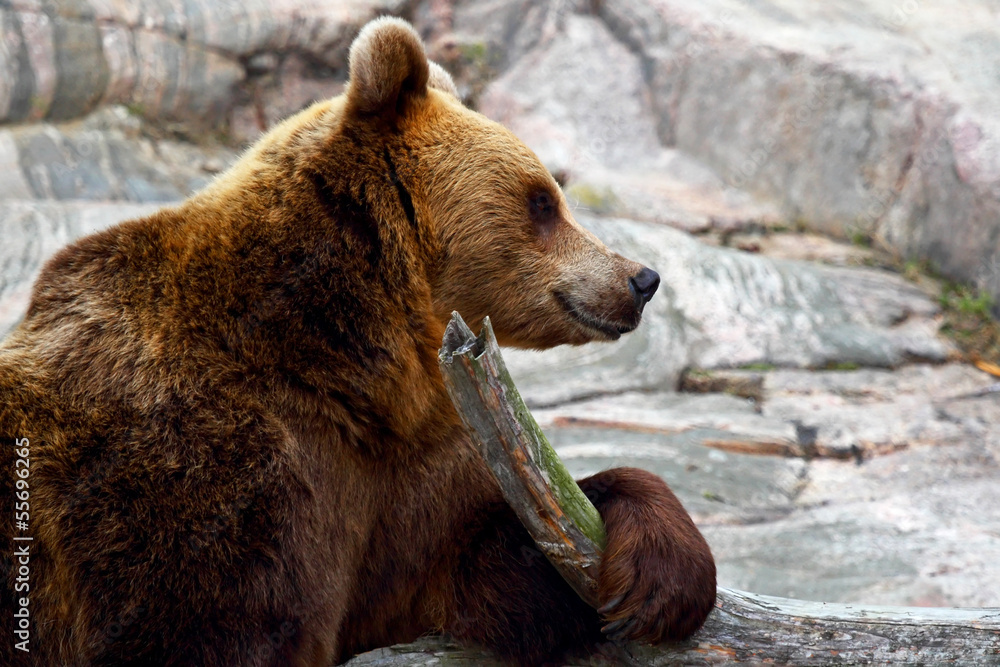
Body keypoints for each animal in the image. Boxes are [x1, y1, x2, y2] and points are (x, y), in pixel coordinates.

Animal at [0, 17, 716, 666]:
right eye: (542, 200)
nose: (641, 278)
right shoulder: (206, 478)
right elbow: (221, 623)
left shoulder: (388, 484)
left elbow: (482, 564)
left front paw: (657, 575)